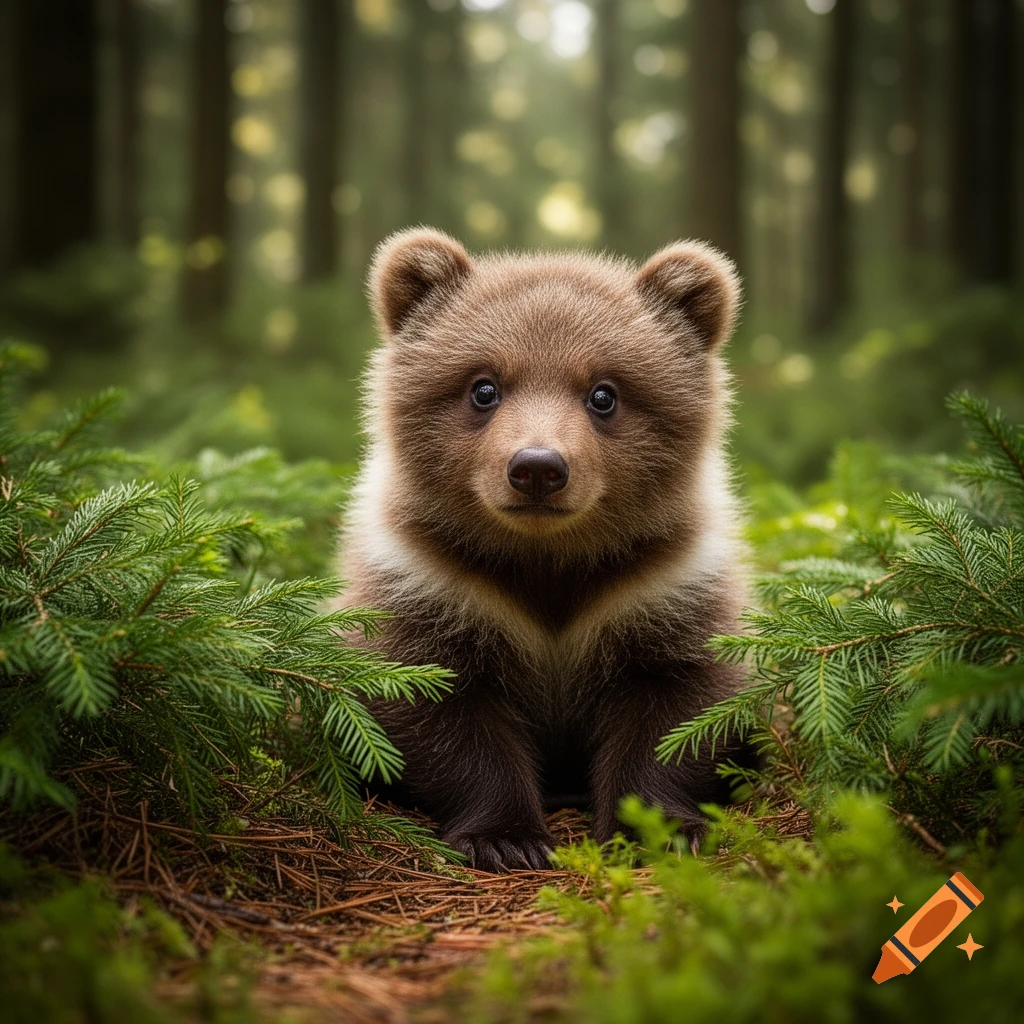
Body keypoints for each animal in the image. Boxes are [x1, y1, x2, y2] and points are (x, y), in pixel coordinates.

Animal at [337, 227, 748, 872]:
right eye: (484, 387)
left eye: (604, 393)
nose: (536, 467)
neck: (548, 563)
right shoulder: (432, 587)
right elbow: (440, 713)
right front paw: (506, 837)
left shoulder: (663, 588)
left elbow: (680, 709)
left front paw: (653, 828)